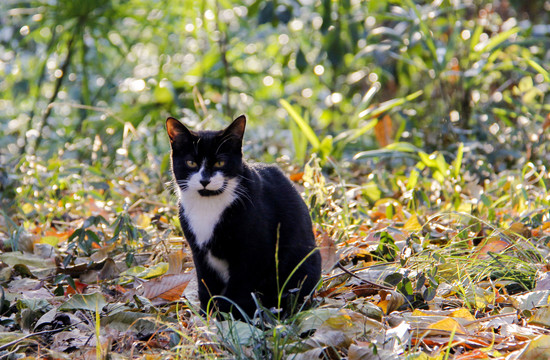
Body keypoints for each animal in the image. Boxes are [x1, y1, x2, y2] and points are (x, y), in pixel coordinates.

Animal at [168, 114, 324, 318]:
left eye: (220, 162)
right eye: (191, 163)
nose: (204, 180)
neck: (209, 203)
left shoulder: (253, 252)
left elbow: (239, 288)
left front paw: (228, 316)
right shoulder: (198, 251)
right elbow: (206, 284)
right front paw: (207, 314)